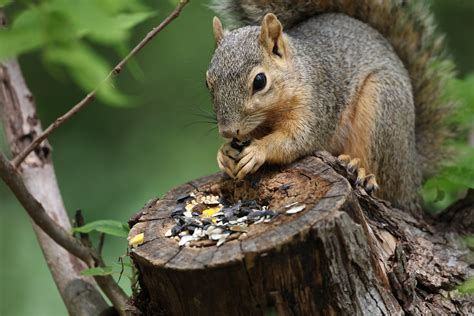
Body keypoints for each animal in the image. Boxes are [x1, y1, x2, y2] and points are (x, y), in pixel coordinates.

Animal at [206, 0, 454, 214]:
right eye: (208, 82)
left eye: (260, 81)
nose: (228, 131)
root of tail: (413, 172)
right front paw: (225, 153)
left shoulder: (317, 105)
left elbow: (296, 140)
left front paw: (257, 150)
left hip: (383, 106)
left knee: (387, 184)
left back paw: (363, 172)